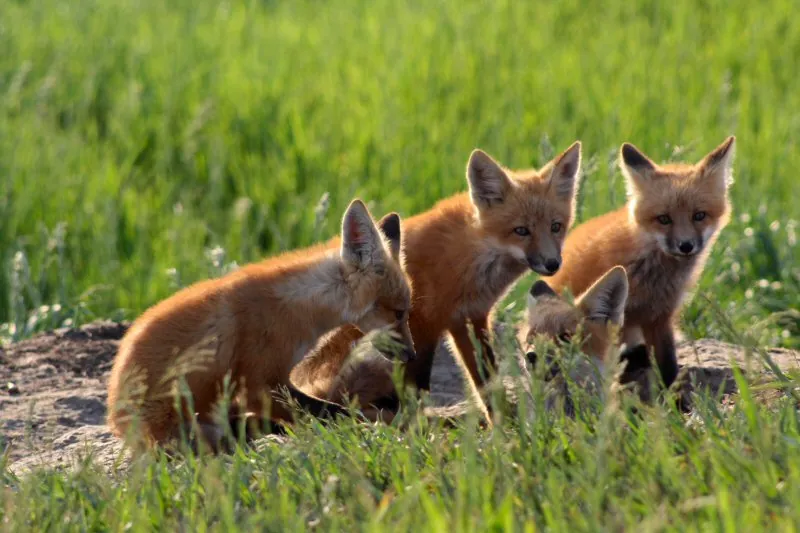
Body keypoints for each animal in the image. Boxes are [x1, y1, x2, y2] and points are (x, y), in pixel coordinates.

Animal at [106, 199, 415, 449]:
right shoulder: (260, 384)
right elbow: (334, 411)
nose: (412, 355)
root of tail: (114, 416)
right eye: (399, 312)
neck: (300, 305)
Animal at [291, 142, 583, 415]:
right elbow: (418, 389)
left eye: (556, 227)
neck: (470, 258)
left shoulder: (470, 317)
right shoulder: (422, 322)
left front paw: (501, 423)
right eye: (521, 231)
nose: (553, 264)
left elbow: (485, 381)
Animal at [546, 136, 735, 390]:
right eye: (664, 219)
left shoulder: (660, 317)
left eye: (699, 215)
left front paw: (673, 398)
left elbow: (668, 366)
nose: (686, 246)